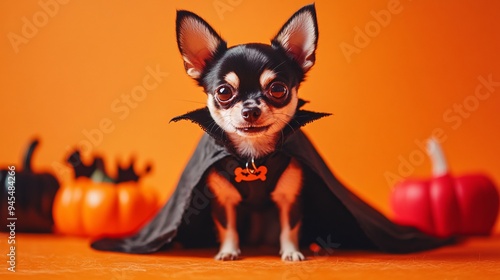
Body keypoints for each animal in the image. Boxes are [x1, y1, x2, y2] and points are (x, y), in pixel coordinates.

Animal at [175, 3, 316, 260]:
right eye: (223, 92)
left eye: (278, 89)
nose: (250, 110)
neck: (252, 154)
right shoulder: (224, 200)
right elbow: (227, 227)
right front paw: (228, 251)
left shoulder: (290, 198)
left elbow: (290, 227)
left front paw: (291, 252)